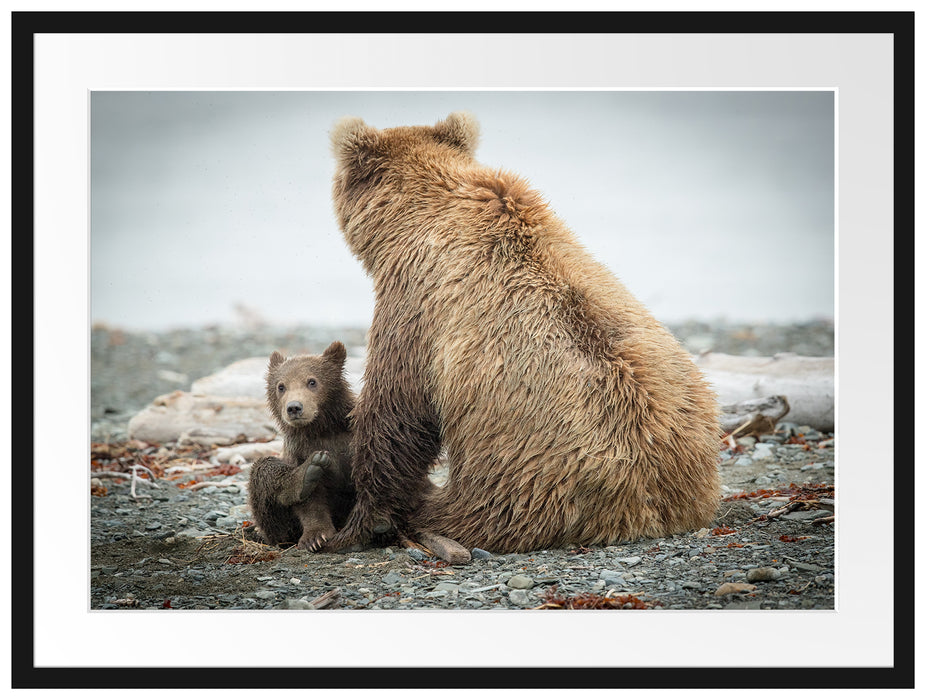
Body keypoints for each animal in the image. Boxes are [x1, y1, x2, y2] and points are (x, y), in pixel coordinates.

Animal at [326, 112, 724, 556]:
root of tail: (651, 509)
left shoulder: (416, 301)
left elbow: (396, 410)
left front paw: (359, 523)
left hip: (524, 478)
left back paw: (425, 515)